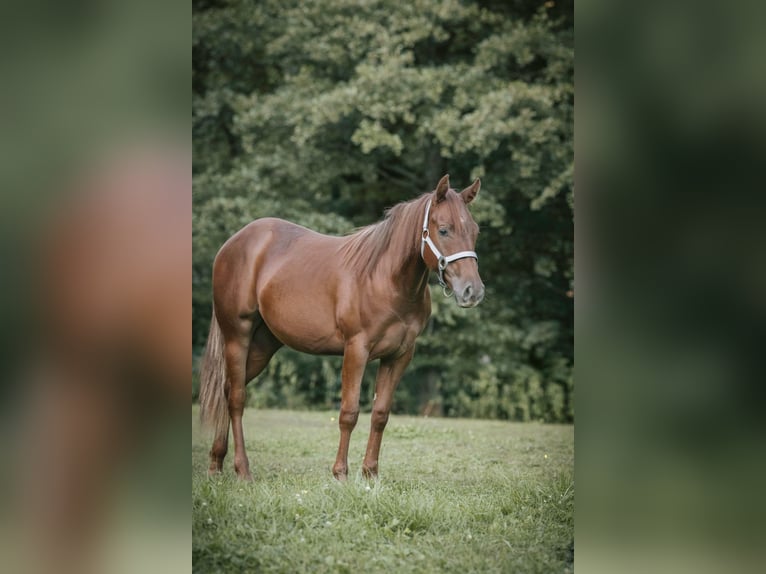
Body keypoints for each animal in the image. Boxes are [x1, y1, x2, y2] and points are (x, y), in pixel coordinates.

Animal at [199, 174, 484, 480]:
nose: (472, 291)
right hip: (237, 336)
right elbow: (349, 413)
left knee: (227, 389)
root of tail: (234, 242)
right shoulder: (356, 349)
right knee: (237, 398)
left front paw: (370, 474)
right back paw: (242, 469)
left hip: (264, 344)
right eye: (444, 230)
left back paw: (216, 463)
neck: (385, 280)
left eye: (475, 231)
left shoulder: (399, 355)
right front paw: (340, 474)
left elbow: (380, 414)